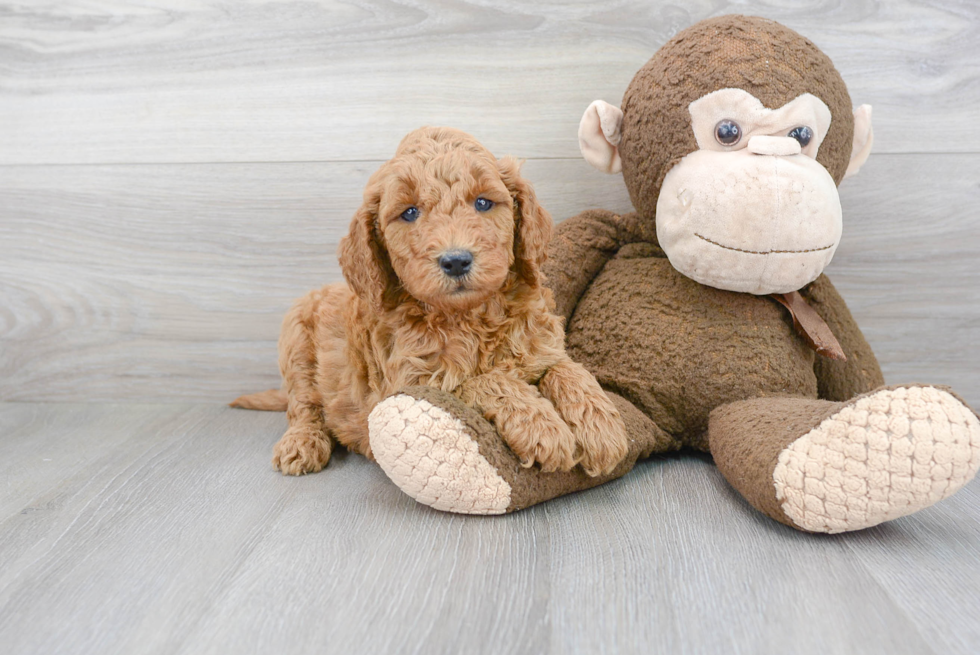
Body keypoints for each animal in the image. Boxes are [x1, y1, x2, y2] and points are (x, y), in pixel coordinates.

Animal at [234, 127, 624, 476]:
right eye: (409, 212)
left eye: (483, 202)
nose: (456, 261)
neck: (470, 318)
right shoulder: (412, 383)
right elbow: (483, 381)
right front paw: (542, 426)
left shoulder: (541, 345)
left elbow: (567, 369)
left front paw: (601, 427)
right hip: (296, 336)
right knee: (304, 406)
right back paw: (301, 444)